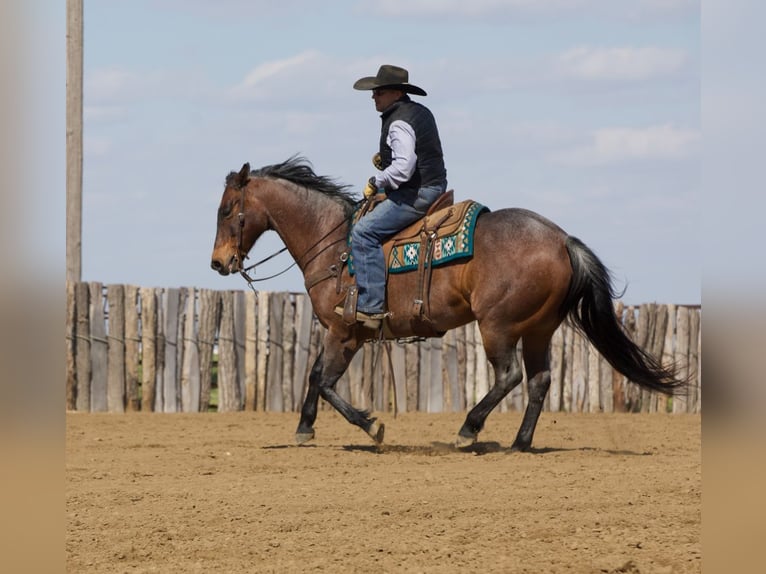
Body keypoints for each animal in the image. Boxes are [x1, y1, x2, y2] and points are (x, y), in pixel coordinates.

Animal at [210, 156, 685, 450]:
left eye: (227, 209)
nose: (218, 262)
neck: (335, 244)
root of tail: (560, 238)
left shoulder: (344, 331)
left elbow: (325, 382)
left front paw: (371, 425)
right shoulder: (349, 334)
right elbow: (315, 377)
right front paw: (305, 428)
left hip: (498, 326)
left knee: (510, 376)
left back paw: (468, 431)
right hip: (538, 329)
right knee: (539, 380)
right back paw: (520, 443)